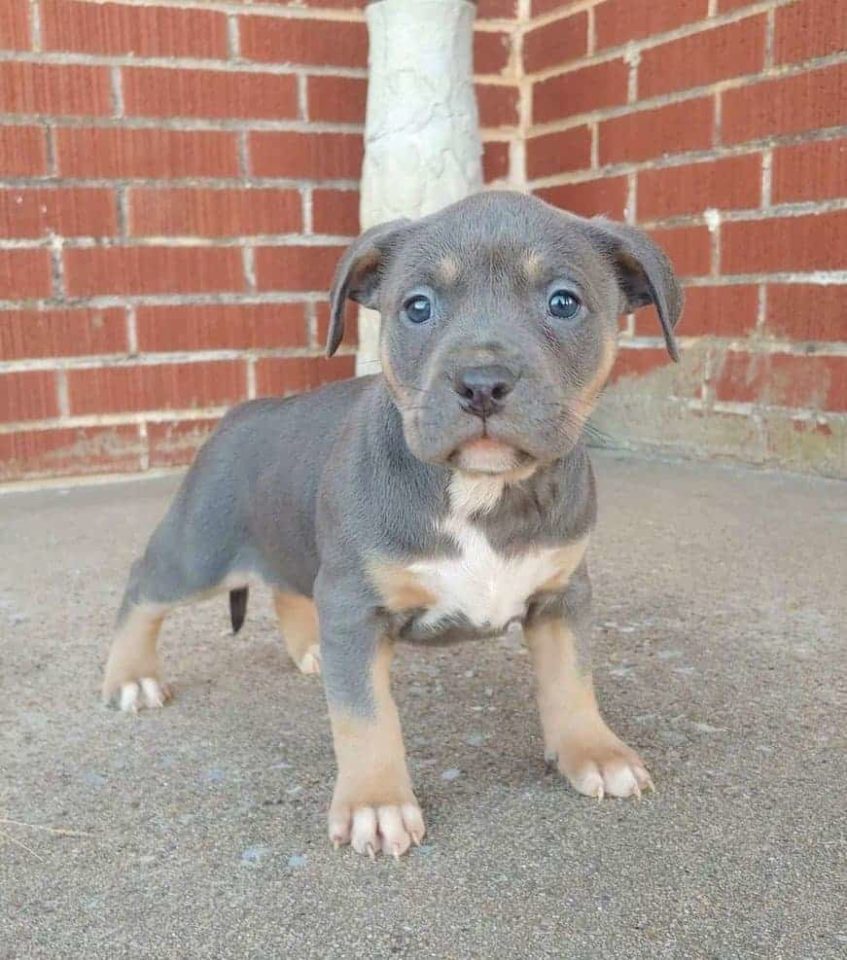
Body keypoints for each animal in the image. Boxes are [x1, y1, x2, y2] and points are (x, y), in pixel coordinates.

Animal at [104, 188, 684, 856]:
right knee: (143, 585)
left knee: (286, 588)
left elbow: (573, 678)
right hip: (198, 550)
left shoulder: (563, 595)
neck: (482, 490)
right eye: (418, 307)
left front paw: (594, 750)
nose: (481, 384)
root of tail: (238, 415)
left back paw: (311, 649)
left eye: (564, 302)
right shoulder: (354, 605)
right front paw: (375, 803)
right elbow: (365, 716)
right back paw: (131, 678)